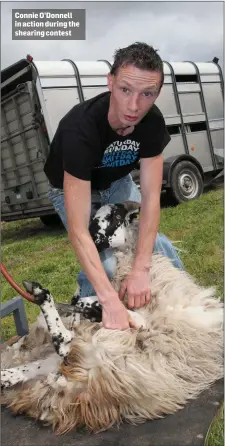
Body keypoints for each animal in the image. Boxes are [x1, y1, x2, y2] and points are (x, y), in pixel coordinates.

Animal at [0, 202, 223, 436]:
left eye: (113, 218)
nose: (85, 238)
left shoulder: (136, 320)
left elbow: (92, 305)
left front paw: (78, 304)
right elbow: (88, 303)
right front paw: (77, 305)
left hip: (103, 352)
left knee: (64, 343)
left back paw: (40, 293)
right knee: (49, 356)